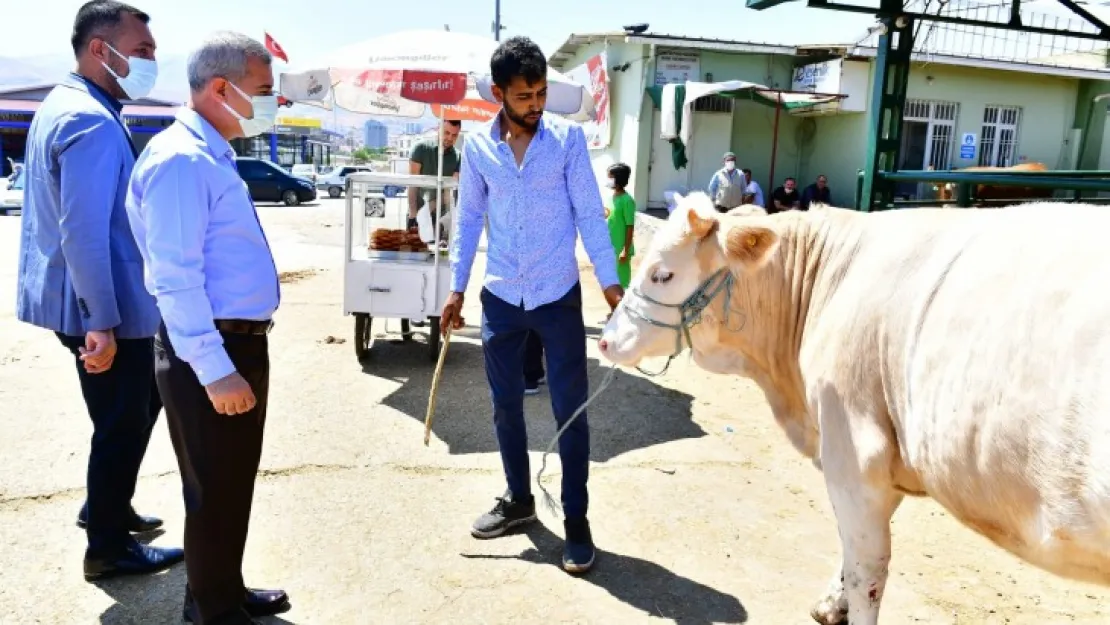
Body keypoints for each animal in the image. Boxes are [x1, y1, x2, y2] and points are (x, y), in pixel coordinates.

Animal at [603, 193, 1110, 625]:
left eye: (662, 274)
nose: (606, 340)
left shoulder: (853, 446)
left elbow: (868, 569)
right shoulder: (883, 453)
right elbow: (853, 551)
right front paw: (832, 601)